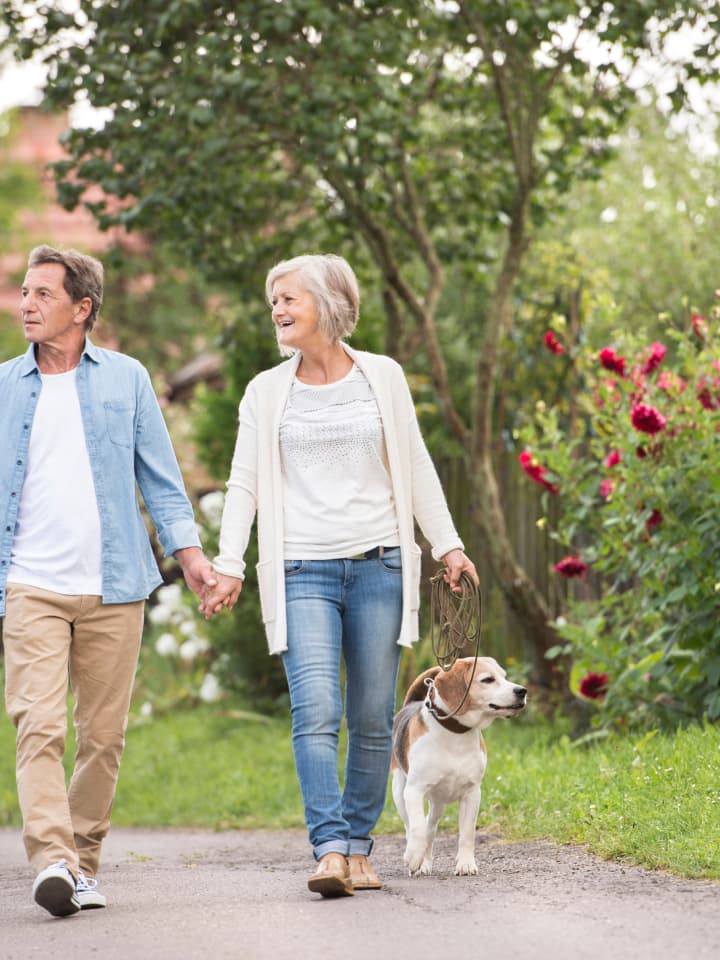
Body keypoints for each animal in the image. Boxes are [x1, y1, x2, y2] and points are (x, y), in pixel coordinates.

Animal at [390, 656, 524, 872]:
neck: (455, 733)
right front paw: (413, 856)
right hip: (399, 791)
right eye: (488, 679)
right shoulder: (414, 790)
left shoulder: (472, 792)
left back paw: (426, 862)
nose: (522, 691)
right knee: (412, 826)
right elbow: (417, 827)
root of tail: (411, 703)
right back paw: (416, 857)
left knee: (430, 827)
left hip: (437, 804)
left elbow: (467, 833)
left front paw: (466, 864)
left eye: (504, 676)